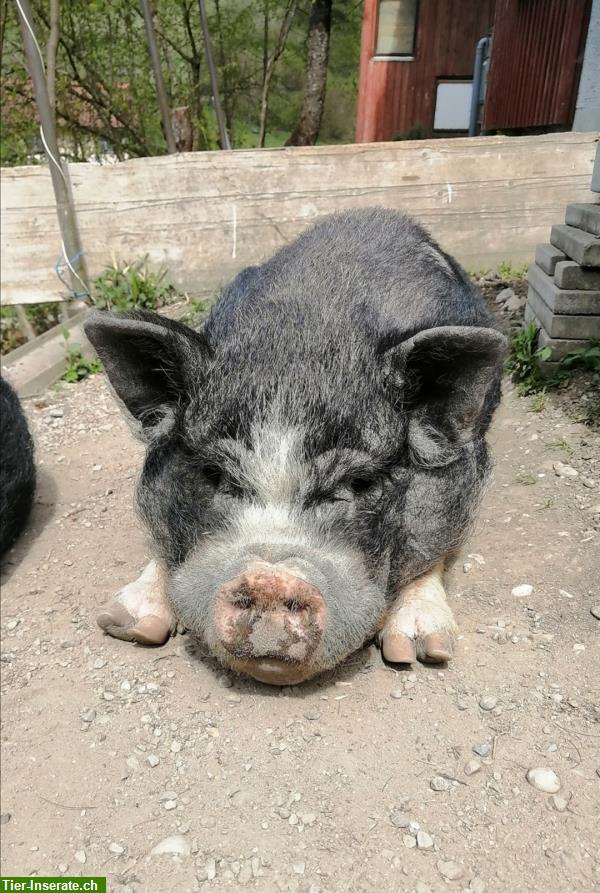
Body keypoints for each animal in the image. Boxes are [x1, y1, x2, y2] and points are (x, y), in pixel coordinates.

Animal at [84, 207, 506, 684]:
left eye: (360, 482)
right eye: (214, 473)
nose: (269, 581)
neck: (304, 338)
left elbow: (434, 547)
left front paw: (422, 652)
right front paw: (123, 626)